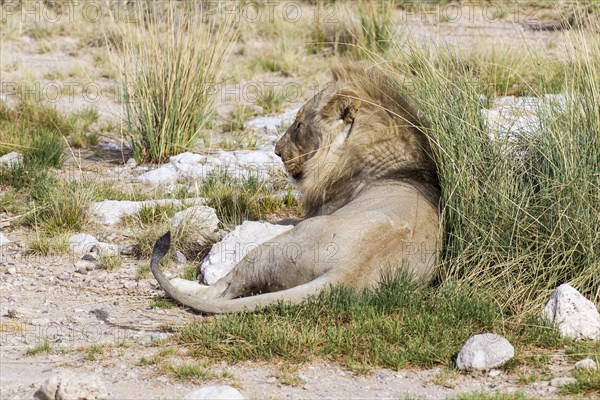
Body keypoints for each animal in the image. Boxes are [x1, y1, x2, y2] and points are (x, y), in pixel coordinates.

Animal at [150, 63, 440, 312]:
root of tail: (346, 271)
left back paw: (181, 284)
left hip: (274, 247)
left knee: (222, 289)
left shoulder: (315, 212)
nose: (277, 151)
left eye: (299, 124)